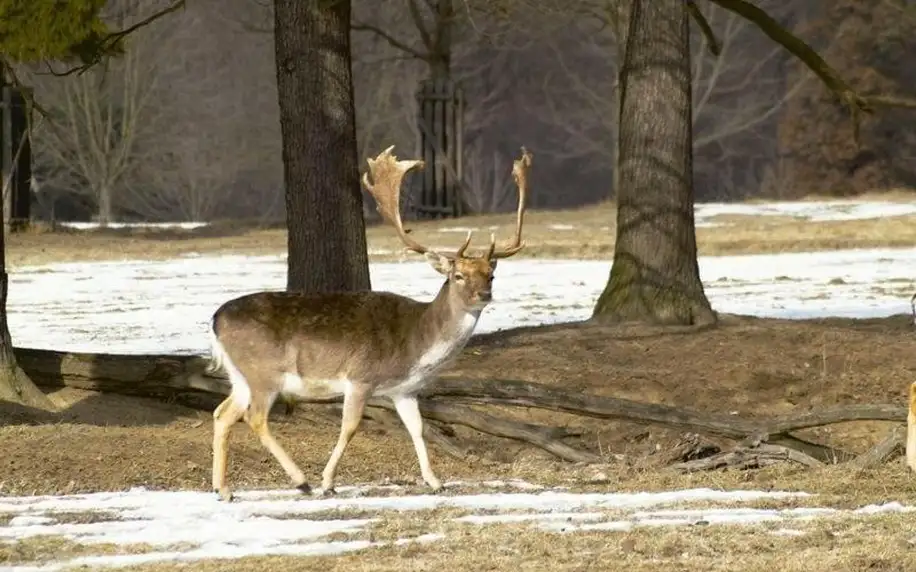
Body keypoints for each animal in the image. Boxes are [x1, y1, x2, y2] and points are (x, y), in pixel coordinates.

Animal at [209, 146, 528, 500]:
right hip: (264, 372)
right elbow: (350, 427)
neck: (416, 344)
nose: (484, 294)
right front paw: (328, 481)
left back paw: (223, 489)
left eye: (491, 275)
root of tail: (215, 320)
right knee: (255, 417)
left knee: (222, 413)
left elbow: (418, 428)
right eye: (458, 275)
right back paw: (301, 481)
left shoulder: (405, 390)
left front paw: (434, 481)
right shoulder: (360, 376)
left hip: (240, 375)